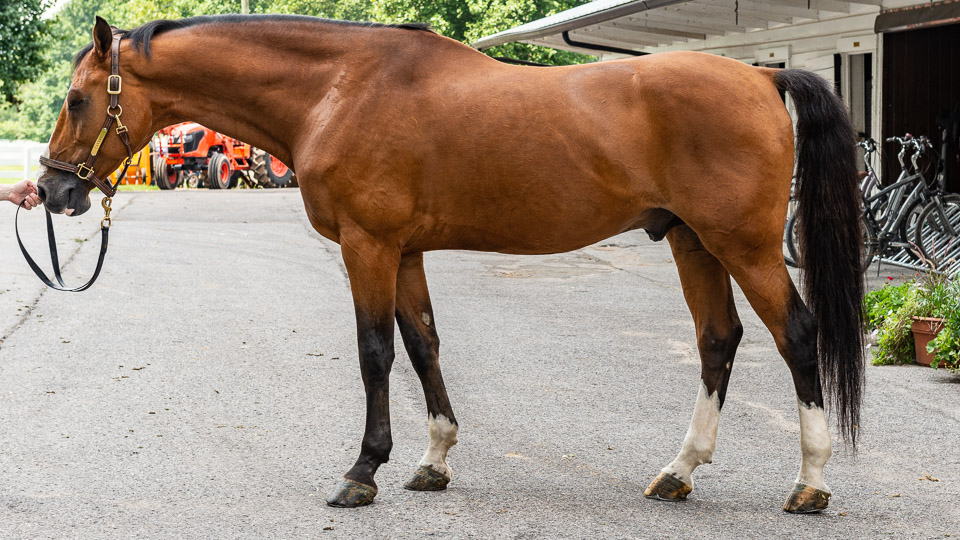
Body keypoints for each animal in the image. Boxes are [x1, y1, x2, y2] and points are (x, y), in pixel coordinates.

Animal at [35, 14, 864, 516]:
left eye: (77, 100)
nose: (51, 189)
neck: (338, 90)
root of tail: (762, 76)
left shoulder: (368, 246)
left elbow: (374, 351)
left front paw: (362, 472)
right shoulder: (404, 251)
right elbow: (423, 343)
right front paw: (433, 461)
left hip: (743, 245)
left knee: (797, 335)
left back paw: (811, 482)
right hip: (694, 242)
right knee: (718, 340)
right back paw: (680, 472)